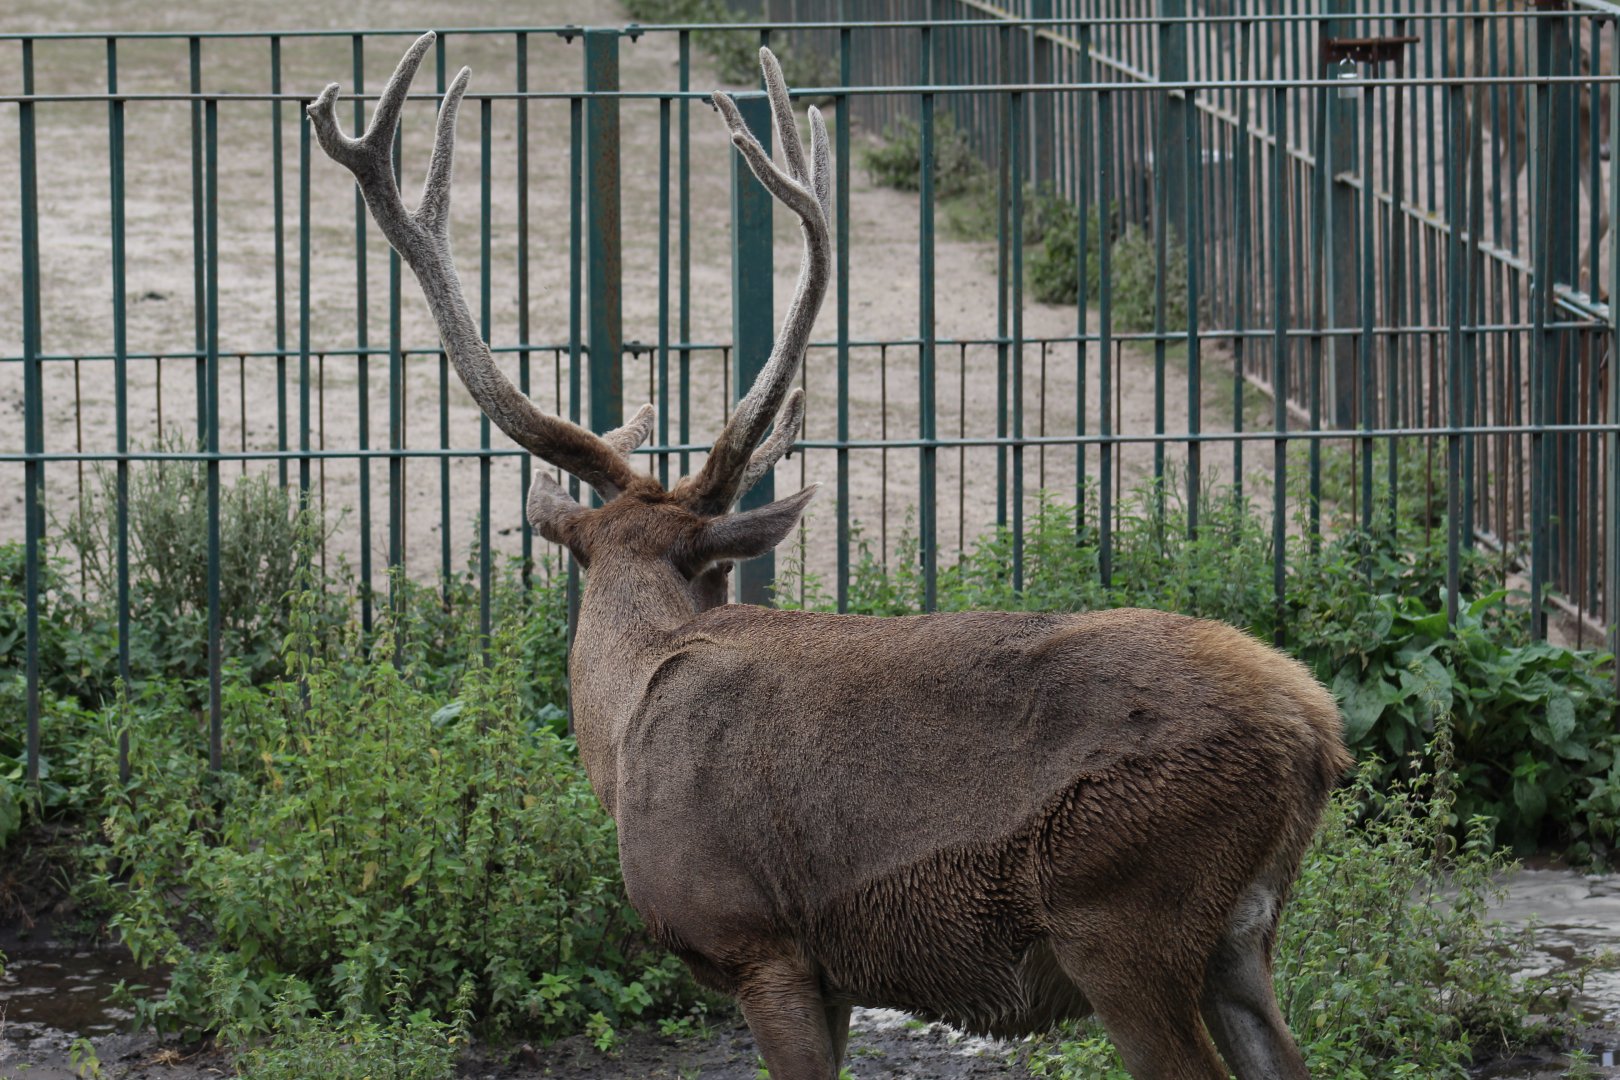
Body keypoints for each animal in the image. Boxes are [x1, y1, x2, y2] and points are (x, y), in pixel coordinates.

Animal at [309, 32, 1351, 1080]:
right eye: (714, 570)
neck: (625, 717)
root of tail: (1318, 731)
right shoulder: (837, 969)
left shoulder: (757, 938)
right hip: (1240, 934)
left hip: (1124, 914)